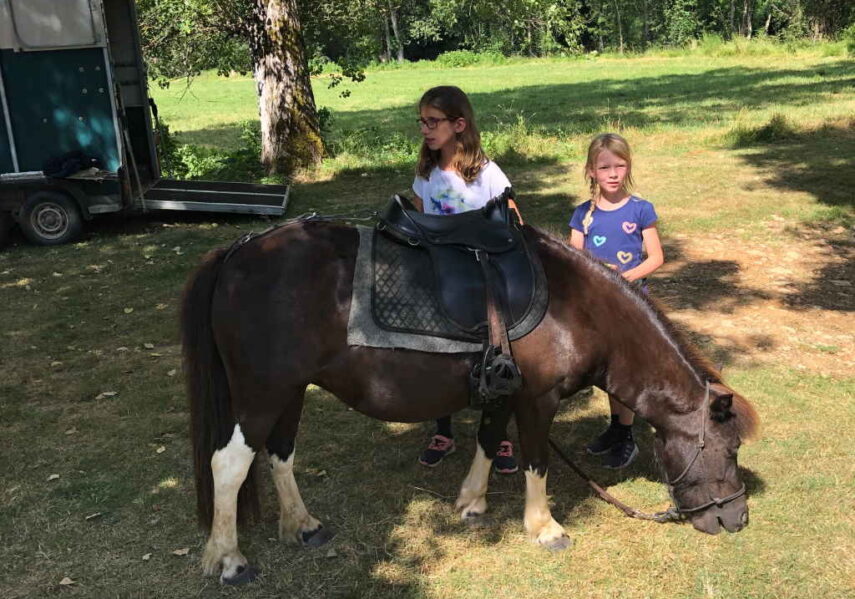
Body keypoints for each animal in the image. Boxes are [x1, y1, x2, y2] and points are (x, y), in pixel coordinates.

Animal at [184, 223, 760, 584]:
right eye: (729, 450)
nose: (737, 520)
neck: (577, 308)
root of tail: (239, 252)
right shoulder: (538, 399)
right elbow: (535, 462)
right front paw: (544, 528)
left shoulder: (501, 392)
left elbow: (487, 441)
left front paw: (471, 503)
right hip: (261, 393)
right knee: (229, 465)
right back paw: (230, 559)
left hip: (290, 392)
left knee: (280, 453)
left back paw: (302, 525)